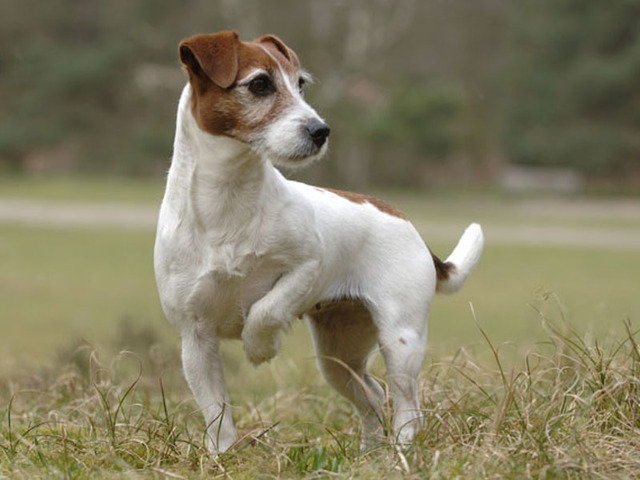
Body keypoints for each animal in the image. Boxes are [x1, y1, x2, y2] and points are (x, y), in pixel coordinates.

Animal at [155, 31, 484, 454]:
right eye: (260, 84)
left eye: (300, 85)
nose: (320, 130)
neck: (227, 202)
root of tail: (406, 222)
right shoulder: (195, 338)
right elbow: (217, 415)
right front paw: (221, 457)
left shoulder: (307, 266)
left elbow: (265, 310)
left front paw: (259, 347)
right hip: (339, 356)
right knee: (373, 395)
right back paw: (370, 454)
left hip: (401, 339)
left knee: (408, 408)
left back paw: (400, 452)